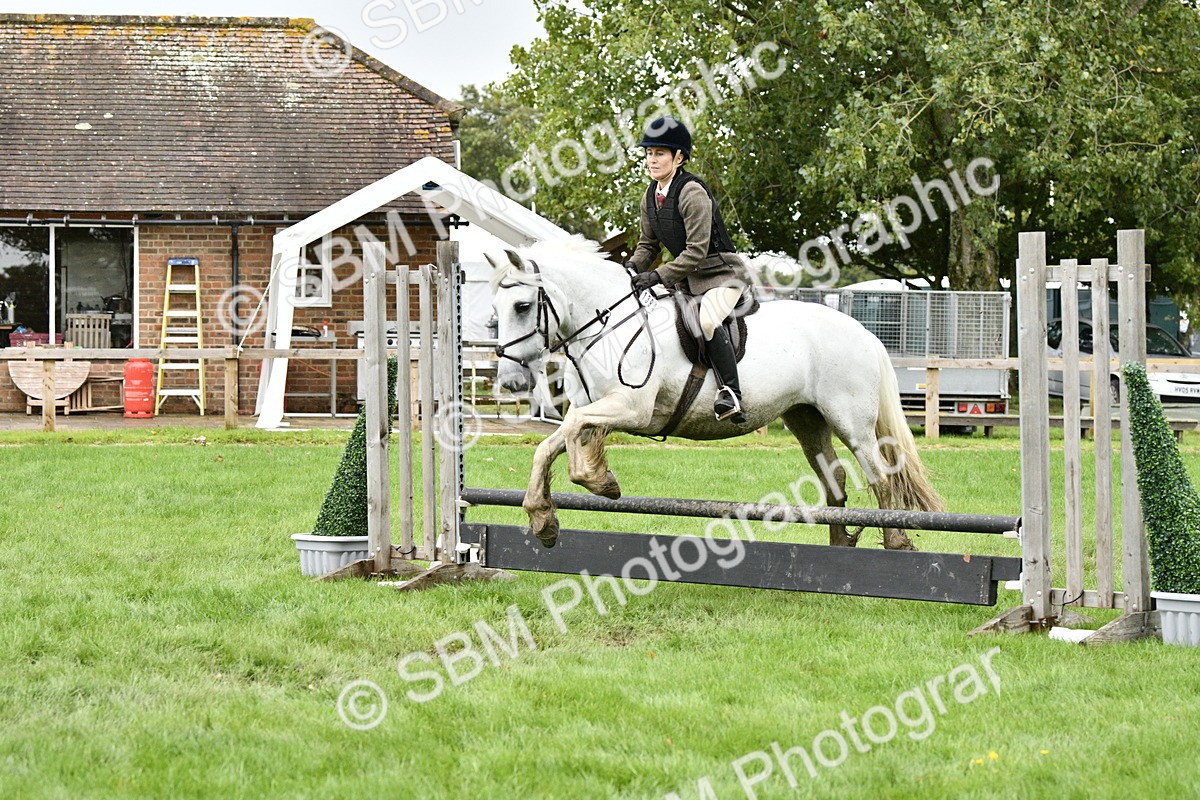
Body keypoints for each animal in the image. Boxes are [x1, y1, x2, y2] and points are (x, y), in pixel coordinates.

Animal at [485, 237, 944, 549]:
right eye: (495, 313)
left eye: (522, 306)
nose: (511, 382)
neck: (607, 323)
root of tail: (864, 333)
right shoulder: (592, 408)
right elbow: (547, 446)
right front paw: (543, 520)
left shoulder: (632, 409)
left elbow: (575, 437)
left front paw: (601, 482)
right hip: (806, 420)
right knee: (836, 478)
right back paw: (840, 544)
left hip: (851, 423)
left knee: (879, 475)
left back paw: (896, 541)